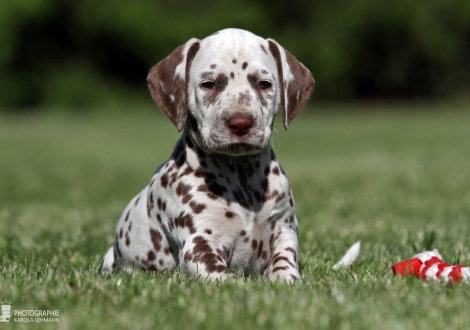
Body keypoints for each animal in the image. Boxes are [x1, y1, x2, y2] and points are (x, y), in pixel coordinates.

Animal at [103, 28, 316, 282]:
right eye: (209, 84)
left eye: (264, 84)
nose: (240, 122)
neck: (241, 177)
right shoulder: (200, 246)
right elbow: (227, 280)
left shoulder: (284, 230)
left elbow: (284, 265)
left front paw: (286, 280)